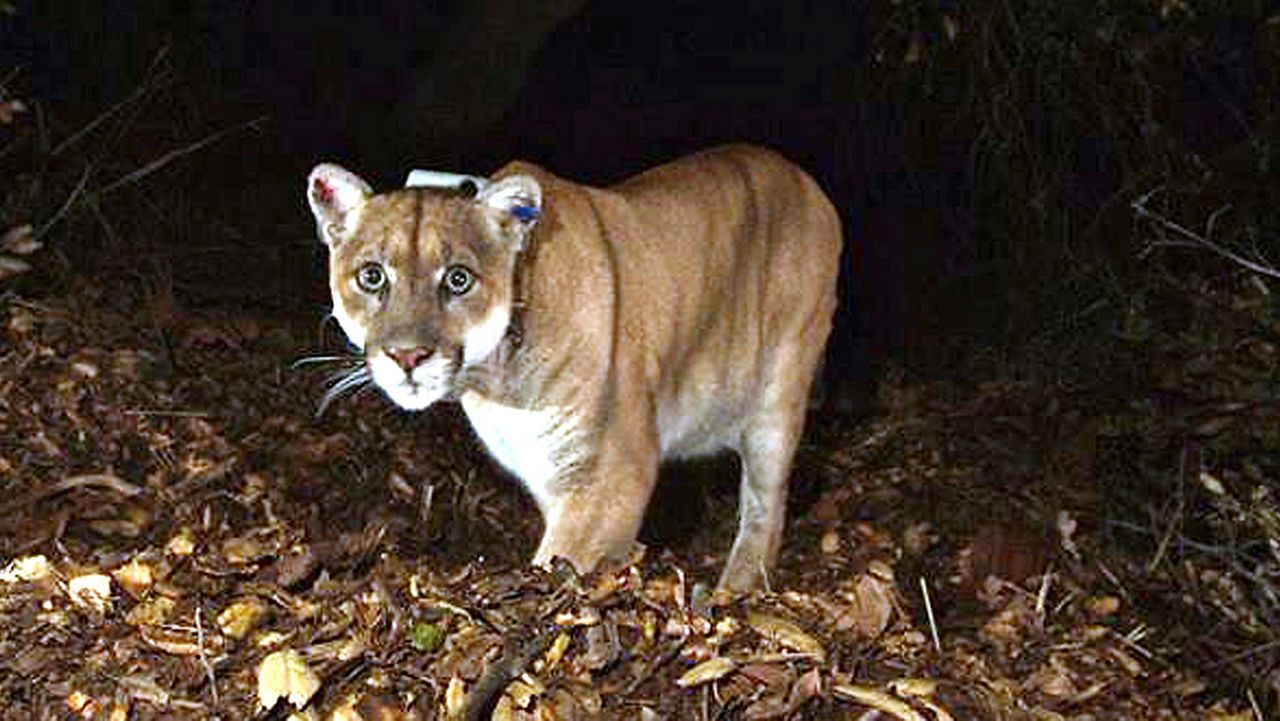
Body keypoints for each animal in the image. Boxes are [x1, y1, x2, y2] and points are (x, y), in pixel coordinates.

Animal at [308, 146, 844, 591]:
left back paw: (735, 588)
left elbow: (560, 559)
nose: (407, 356)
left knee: (765, 507)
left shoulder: (613, 472)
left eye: (458, 279)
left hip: (778, 394)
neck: (496, 382)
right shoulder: (549, 472)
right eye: (372, 276)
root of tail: (805, 179)